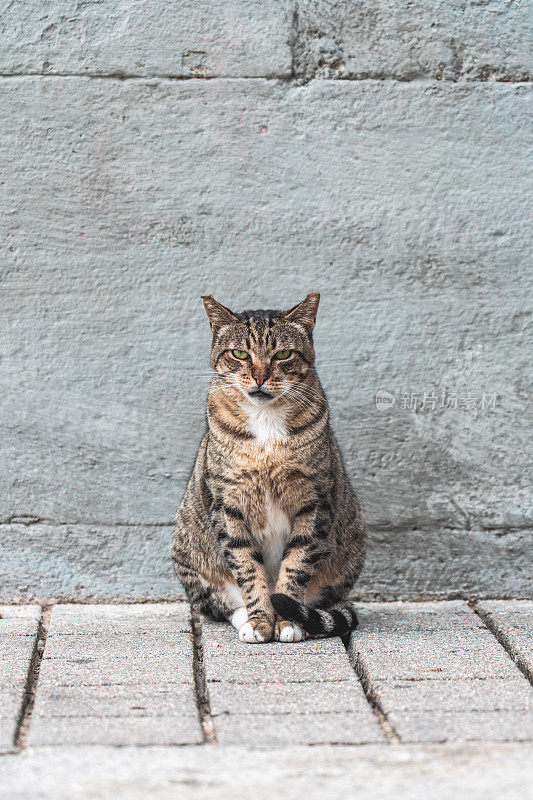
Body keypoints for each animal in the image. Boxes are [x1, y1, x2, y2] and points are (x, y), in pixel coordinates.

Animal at [172, 294, 364, 644]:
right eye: (239, 353)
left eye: (283, 354)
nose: (260, 377)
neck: (266, 424)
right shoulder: (227, 504)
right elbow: (247, 568)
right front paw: (261, 621)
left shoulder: (314, 501)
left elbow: (296, 565)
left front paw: (288, 622)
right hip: (188, 549)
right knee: (216, 604)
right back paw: (244, 618)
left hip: (350, 553)